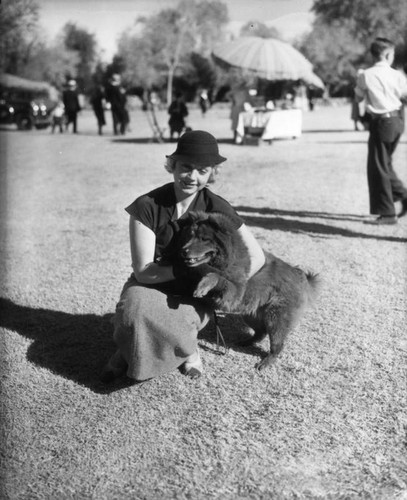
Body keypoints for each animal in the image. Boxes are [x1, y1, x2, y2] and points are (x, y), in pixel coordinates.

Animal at [174, 209, 320, 370]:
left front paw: (203, 285)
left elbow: (216, 277)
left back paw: (266, 361)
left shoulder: (236, 291)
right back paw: (246, 342)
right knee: (261, 332)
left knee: (277, 345)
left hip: (275, 318)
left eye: (204, 239)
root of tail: (302, 278)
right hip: (250, 314)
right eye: (190, 236)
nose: (183, 251)